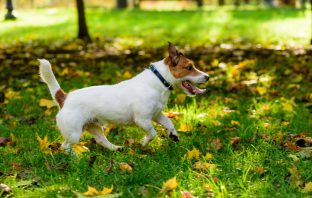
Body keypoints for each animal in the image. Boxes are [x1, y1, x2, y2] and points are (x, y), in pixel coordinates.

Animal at [39, 42, 210, 151]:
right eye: (189, 67)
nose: (208, 77)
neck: (158, 80)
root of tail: (64, 97)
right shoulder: (143, 120)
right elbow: (152, 133)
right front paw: (143, 143)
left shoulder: (156, 114)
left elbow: (169, 122)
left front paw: (173, 134)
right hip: (74, 133)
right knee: (65, 147)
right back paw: (74, 159)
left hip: (94, 126)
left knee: (101, 140)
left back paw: (116, 148)